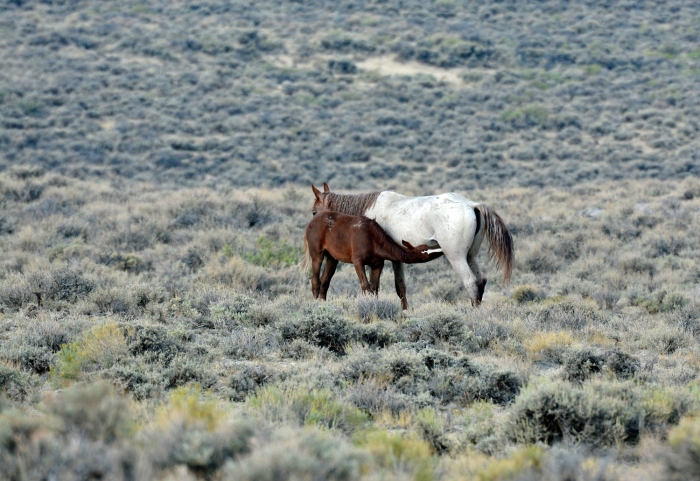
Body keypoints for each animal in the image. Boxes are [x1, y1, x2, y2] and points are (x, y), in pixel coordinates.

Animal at [312, 182, 516, 310]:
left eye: (314, 211)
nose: (314, 224)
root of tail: (472, 205)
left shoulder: (388, 260)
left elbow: (394, 286)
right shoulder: (396, 259)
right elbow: (401, 286)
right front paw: (405, 312)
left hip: (456, 257)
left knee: (471, 282)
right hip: (471, 256)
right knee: (481, 280)